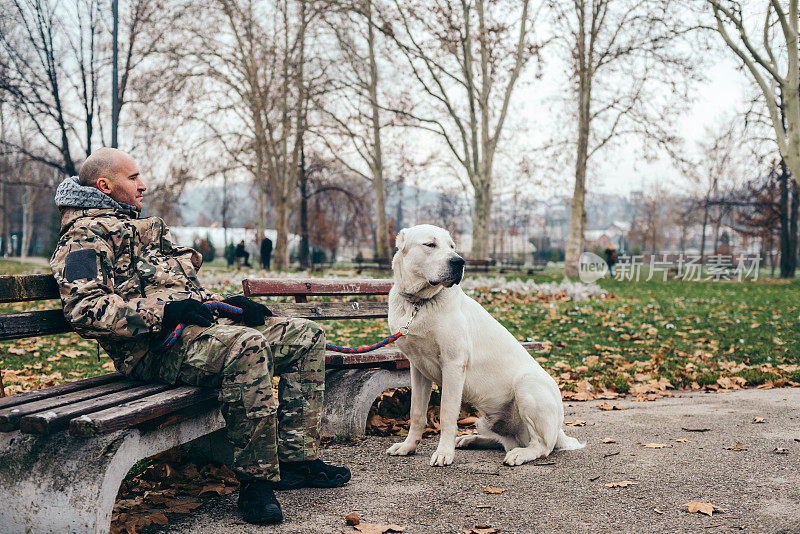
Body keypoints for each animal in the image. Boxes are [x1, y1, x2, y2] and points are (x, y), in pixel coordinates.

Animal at [384, 224, 584, 466]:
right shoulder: (417, 368)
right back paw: (469, 440)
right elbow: (416, 413)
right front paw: (408, 447)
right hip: (486, 420)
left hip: (528, 385)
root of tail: (559, 430)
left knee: (542, 446)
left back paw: (519, 454)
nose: (459, 262)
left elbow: (447, 414)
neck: (418, 303)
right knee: (505, 441)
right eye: (430, 244)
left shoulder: (453, 365)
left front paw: (444, 453)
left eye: (452, 246)